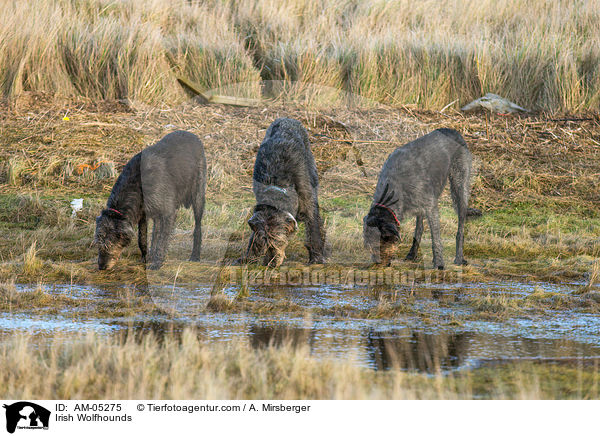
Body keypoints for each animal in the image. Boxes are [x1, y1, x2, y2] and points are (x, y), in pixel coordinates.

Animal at [94, 130, 206, 270]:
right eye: (98, 243)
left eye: (110, 243)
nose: (102, 266)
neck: (137, 185)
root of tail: (191, 134)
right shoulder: (142, 214)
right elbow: (142, 239)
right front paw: (145, 258)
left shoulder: (168, 214)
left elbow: (163, 239)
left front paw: (158, 262)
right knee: (156, 231)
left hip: (198, 194)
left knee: (198, 226)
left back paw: (195, 255)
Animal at [243, 117, 326, 266]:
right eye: (263, 243)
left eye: (278, 241)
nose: (271, 263)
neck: (276, 184)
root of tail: (286, 119)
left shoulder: (308, 201)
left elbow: (313, 225)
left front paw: (317, 257)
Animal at [364, 127, 476, 268]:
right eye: (369, 248)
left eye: (379, 246)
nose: (378, 264)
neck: (395, 183)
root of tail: (452, 130)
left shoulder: (431, 206)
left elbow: (436, 238)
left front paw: (439, 264)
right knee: (419, 228)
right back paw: (412, 254)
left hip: (460, 186)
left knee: (460, 228)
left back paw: (459, 258)